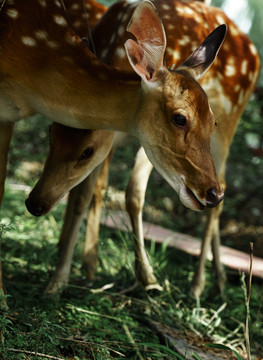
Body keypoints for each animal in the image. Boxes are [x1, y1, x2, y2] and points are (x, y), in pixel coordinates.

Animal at [26, 0, 260, 296]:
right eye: (51, 132)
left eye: (86, 150)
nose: (35, 203)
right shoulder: (111, 142)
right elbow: (85, 193)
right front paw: (65, 274)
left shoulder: (149, 143)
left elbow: (133, 195)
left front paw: (147, 277)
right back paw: (218, 278)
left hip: (231, 123)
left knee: (222, 189)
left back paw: (198, 284)